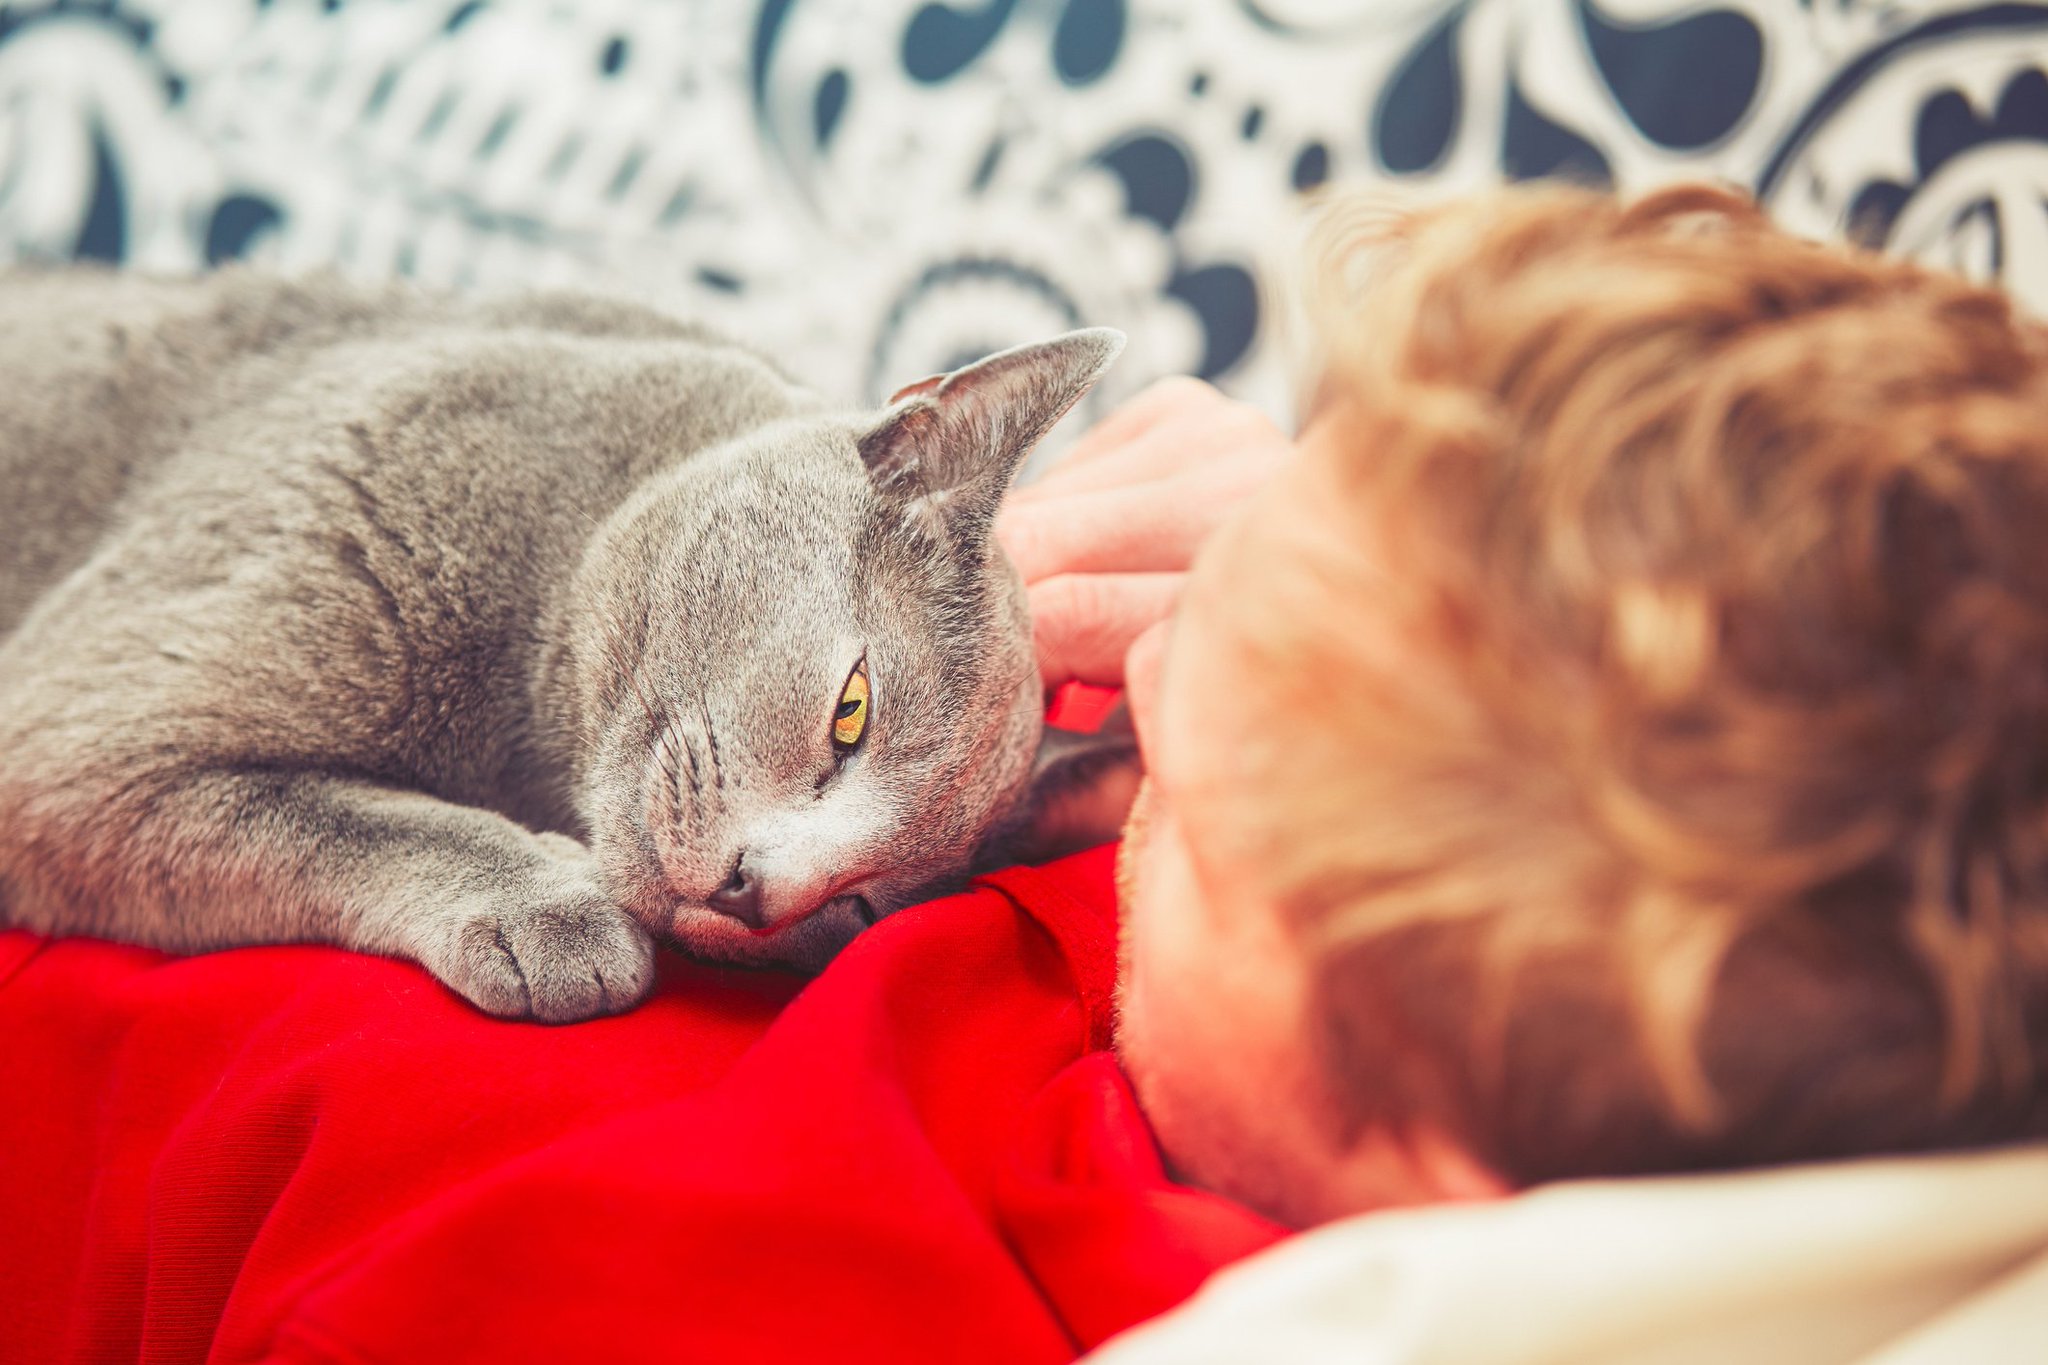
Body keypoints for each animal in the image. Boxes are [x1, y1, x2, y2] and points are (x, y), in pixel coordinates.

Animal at [0, 266, 1122, 1019]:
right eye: (851, 712)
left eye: (864, 909)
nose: (756, 892)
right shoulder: (75, 737)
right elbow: (351, 816)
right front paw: (551, 912)